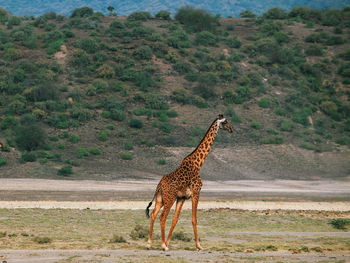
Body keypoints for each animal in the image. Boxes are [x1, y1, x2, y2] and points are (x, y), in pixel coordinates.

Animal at [145, 115, 232, 252]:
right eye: (226, 122)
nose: (231, 130)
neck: (198, 164)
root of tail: (159, 185)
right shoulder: (196, 193)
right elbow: (194, 219)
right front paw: (199, 246)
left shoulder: (182, 198)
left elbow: (175, 219)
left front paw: (168, 242)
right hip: (169, 199)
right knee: (162, 217)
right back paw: (163, 246)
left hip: (160, 199)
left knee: (154, 214)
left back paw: (149, 243)